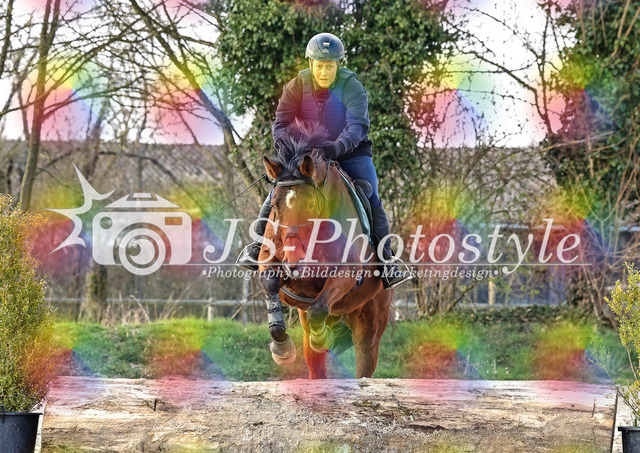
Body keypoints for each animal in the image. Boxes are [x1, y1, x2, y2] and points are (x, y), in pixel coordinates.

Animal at [257, 121, 393, 379]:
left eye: (310, 205)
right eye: (275, 206)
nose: (293, 262)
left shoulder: (347, 273)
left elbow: (318, 308)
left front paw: (321, 339)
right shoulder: (271, 264)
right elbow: (271, 284)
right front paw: (282, 349)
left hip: (370, 324)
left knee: (364, 364)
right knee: (315, 364)